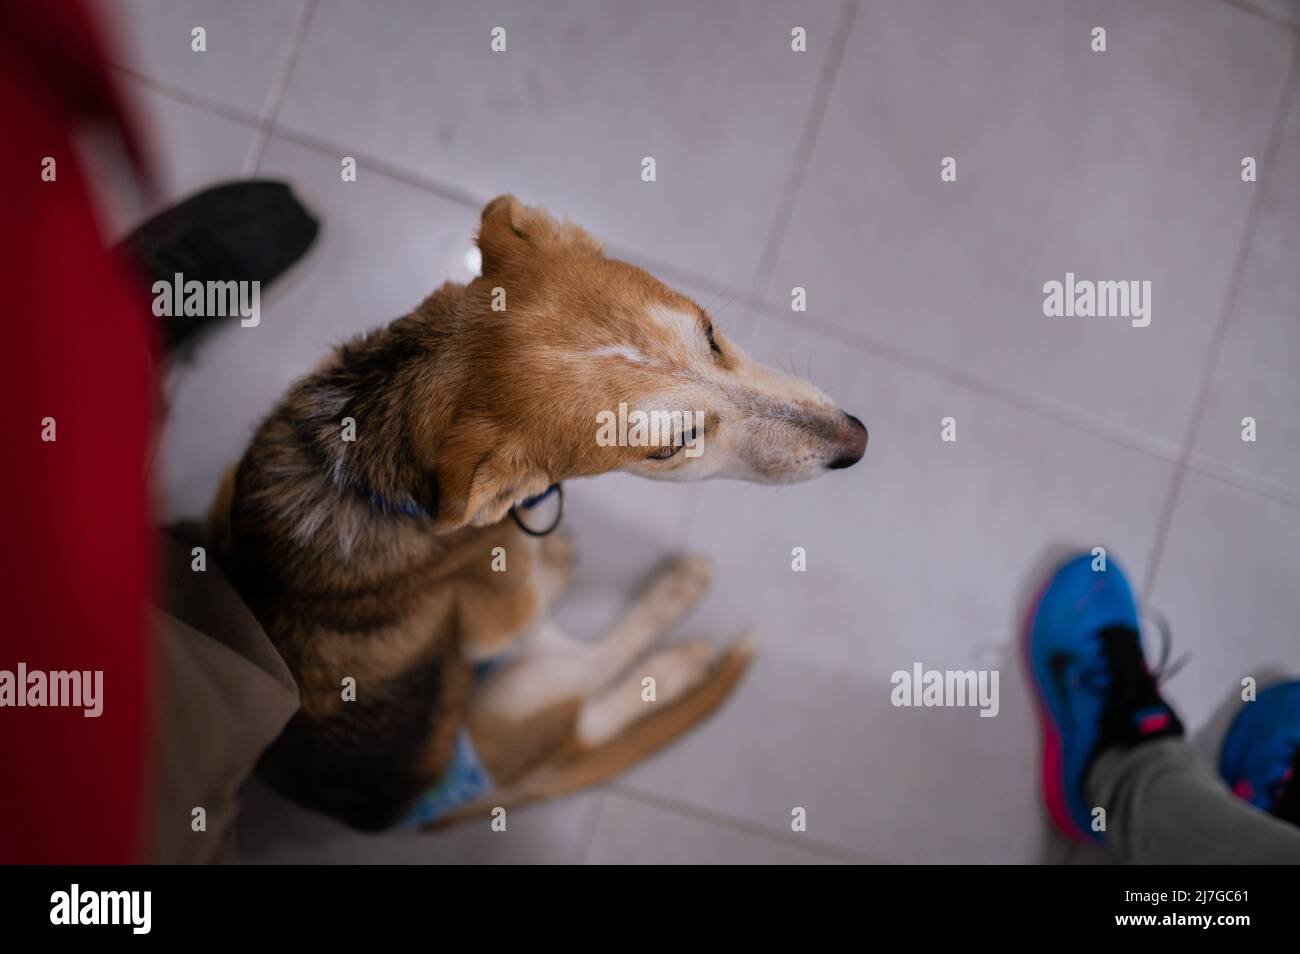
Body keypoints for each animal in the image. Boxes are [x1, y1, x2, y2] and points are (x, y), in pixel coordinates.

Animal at [208, 194, 868, 831]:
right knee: (589, 700)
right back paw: (678, 642)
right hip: (517, 693)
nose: (856, 444)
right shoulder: (502, 621)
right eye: (670, 446)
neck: (361, 453)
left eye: (710, 333)